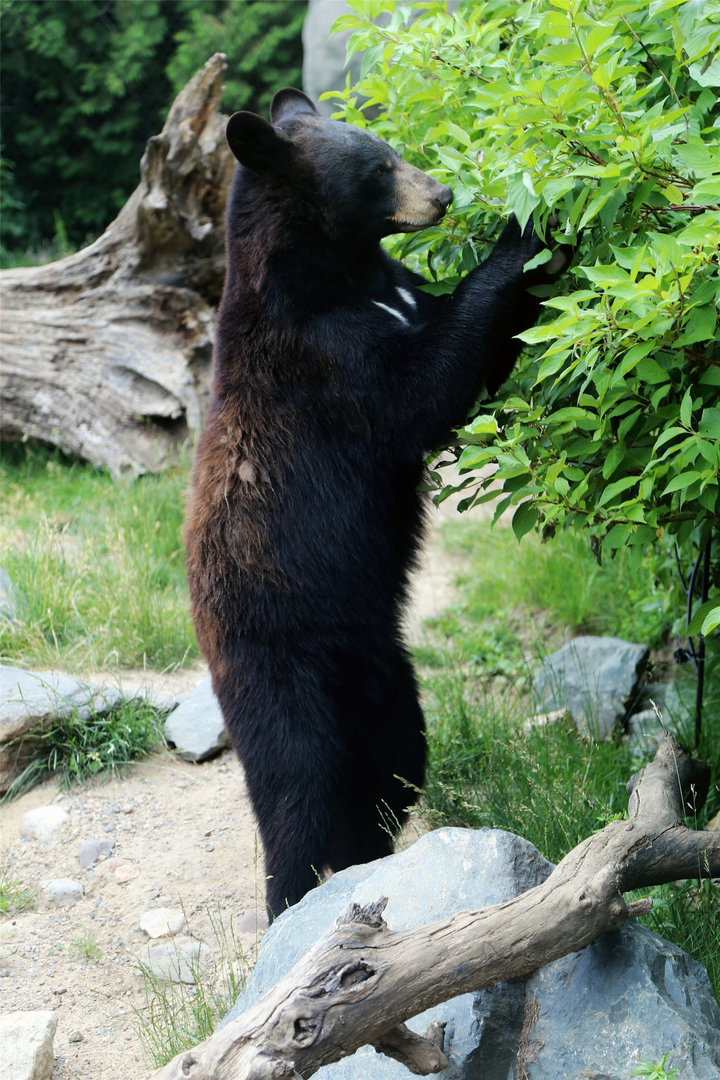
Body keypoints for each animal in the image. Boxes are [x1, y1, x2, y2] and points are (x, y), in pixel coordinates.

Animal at [185, 87, 566, 920]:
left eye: (392, 150)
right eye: (378, 168)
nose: (444, 195)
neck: (339, 278)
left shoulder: (388, 296)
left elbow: (480, 353)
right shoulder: (326, 363)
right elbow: (423, 390)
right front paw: (521, 235)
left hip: (385, 676)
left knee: (395, 767)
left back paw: (368, 860)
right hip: (275, 662)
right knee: (295, 786)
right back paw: (292, 901)